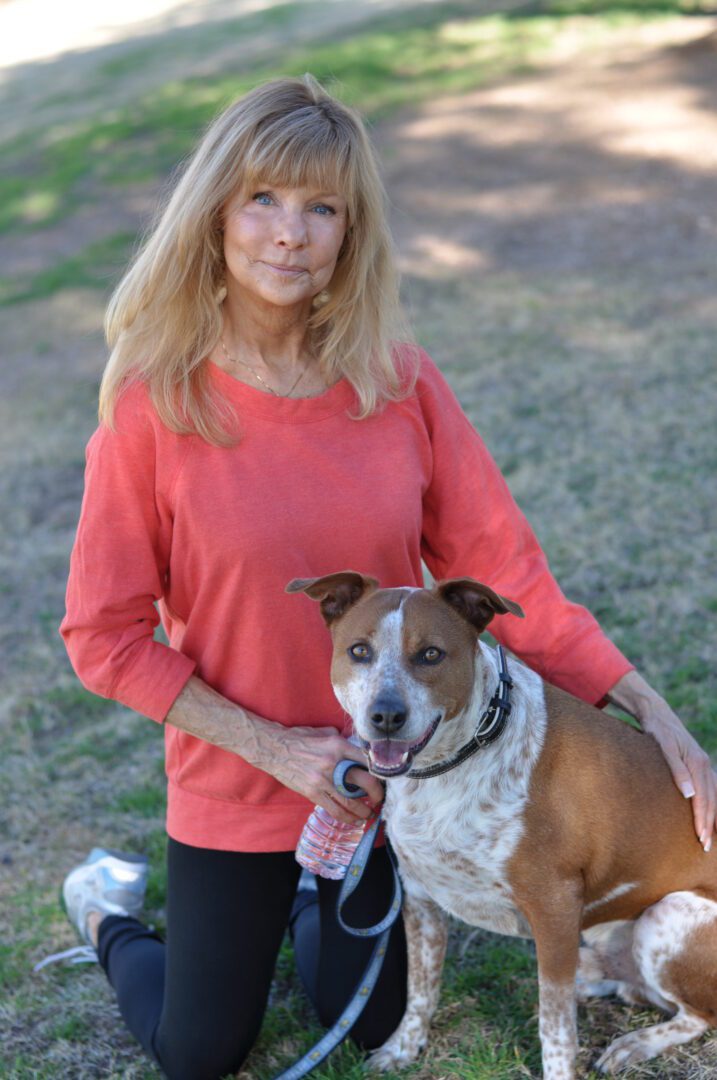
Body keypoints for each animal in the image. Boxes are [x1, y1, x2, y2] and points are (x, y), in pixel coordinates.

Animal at [289, 570, 717, 1075]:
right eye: (359, 651)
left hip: (667, 915)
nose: (386, 716)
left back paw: (635, 1042)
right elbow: (421, 988)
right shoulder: (419, 897)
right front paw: (403, 1048)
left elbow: (555, 1028)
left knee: (696, 1014)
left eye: (430, 654)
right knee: (635, 988)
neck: (455, 759)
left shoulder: (554, 906)